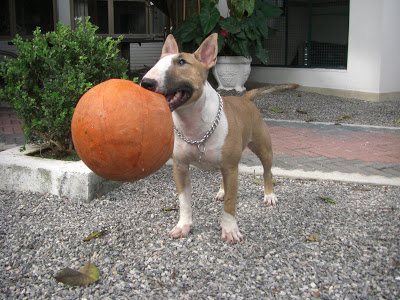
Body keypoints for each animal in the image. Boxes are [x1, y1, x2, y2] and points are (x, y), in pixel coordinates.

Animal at [141, 33, 296, 244]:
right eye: (158, 62)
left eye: (182, 62)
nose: (146, 82)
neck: (194, 126)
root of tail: (245, 99)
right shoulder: (180, 167)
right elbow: (184, 201)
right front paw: (183, 226)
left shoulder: (231, 168)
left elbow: (230, 204)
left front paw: (230, 230)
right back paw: (222, 191)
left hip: (263, 148)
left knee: (267, 172)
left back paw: (269, 195)